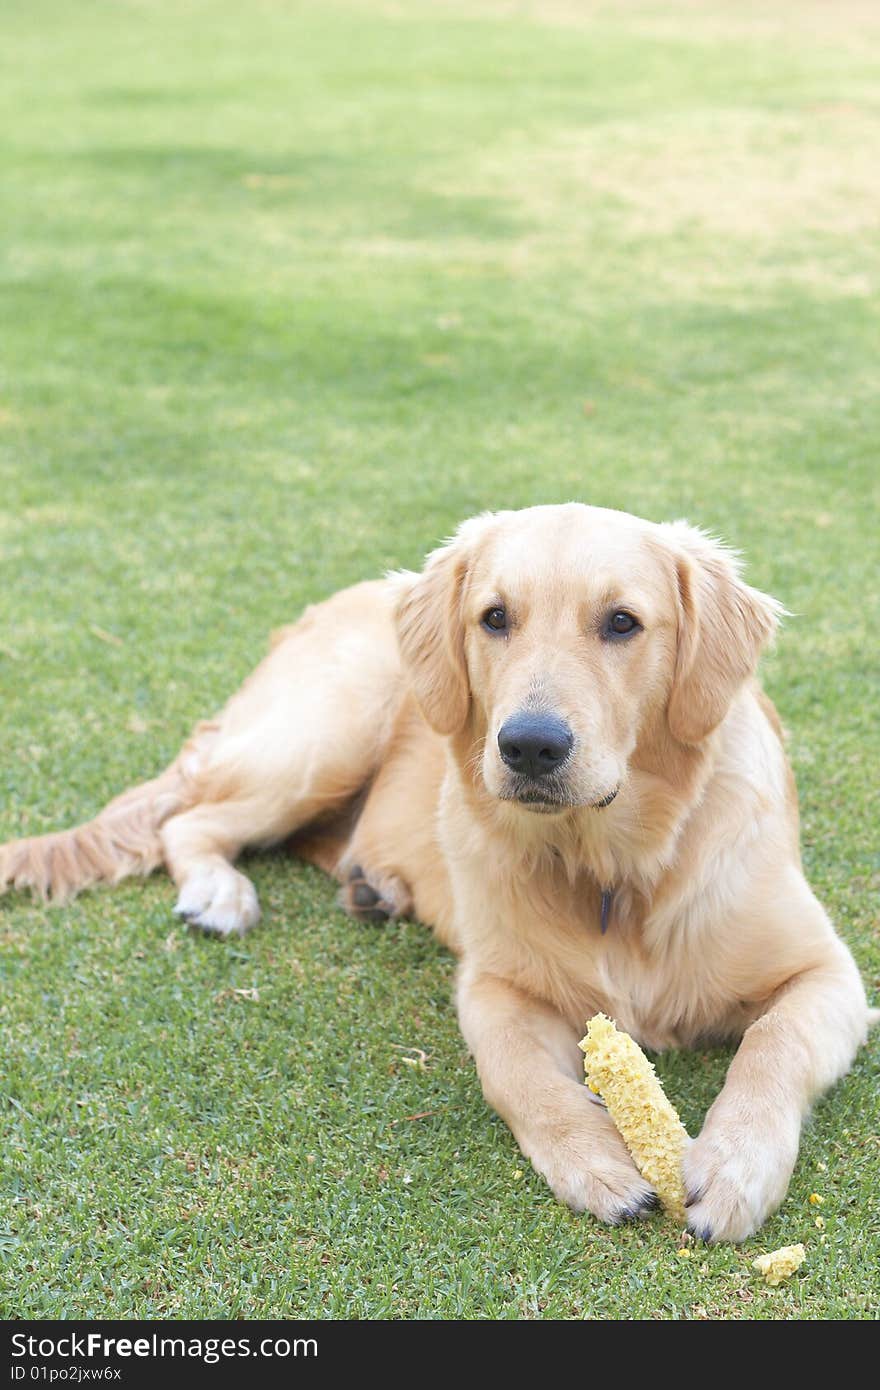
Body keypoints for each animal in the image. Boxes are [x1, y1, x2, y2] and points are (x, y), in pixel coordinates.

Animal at [3, 505, 873, 1245]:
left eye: (622, 622)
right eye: (495, 617)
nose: (529, 745)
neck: (610, 871)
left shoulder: (829, 974)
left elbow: (773, 1042)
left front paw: (735, 1167)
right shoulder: (494, 985)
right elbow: (515, 1073)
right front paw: (595, 1161)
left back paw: (370, 886)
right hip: (325, 733)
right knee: (189, 821)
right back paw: (221, 892)